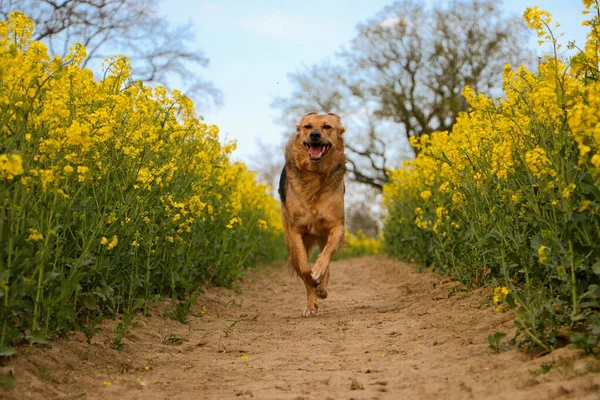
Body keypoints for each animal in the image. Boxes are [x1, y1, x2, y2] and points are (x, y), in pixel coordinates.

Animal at [278, 111, 346, 316]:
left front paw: (319, 275)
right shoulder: (295, 232)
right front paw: (311, 283)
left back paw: (321, 288)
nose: (314, 135)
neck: (315, 174)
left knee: (327, 261)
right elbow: (304, 268)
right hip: (292, 246)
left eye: (327, 127)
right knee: (302, 270)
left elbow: (326, 255)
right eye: (307, 127)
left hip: (324, 236)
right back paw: (311, 303)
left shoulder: (338, 226)